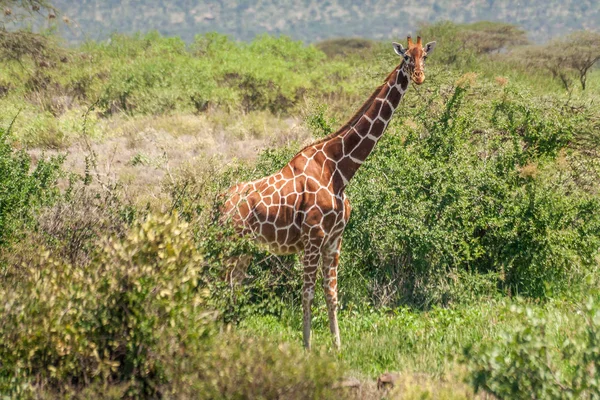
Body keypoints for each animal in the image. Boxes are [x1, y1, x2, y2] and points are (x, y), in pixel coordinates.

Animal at [221, 37, 436, 350]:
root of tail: (220, 203)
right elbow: (308, 293)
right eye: (407, 57)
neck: (339, 170)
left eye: (425, 57)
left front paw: (337, 346)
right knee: (221, 282)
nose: (418, 76)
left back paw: (230, 336)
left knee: (233, 284)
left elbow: (332, 293)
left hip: (244, 248)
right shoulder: (313, 237)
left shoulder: (335, 239)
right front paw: (307, 346)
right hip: (231, 242)